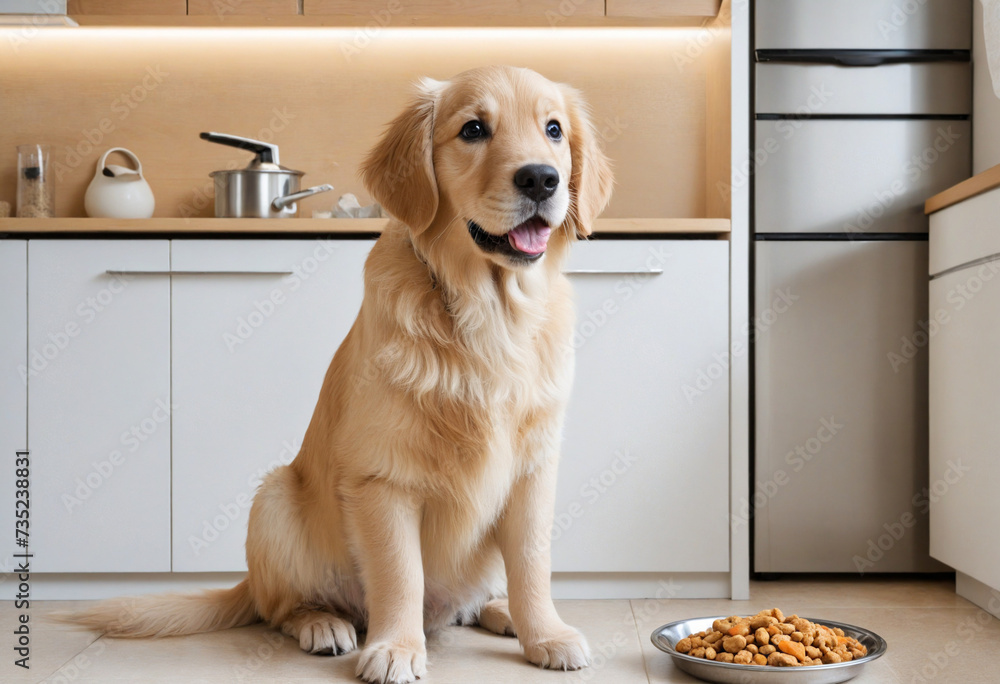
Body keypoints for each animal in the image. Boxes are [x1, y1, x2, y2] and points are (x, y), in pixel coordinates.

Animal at [62, 67, 612, 684]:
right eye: (473, 129)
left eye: (554, 130)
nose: (541, 179)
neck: (488, 314)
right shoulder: (382, 480)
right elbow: (400, 574)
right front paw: (397, 648)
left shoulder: (534, 471)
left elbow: (532, 566)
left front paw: (546, 633)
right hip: (274, 499)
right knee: (282, 609)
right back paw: (324, 624)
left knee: (473, 602)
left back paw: (501, 613)